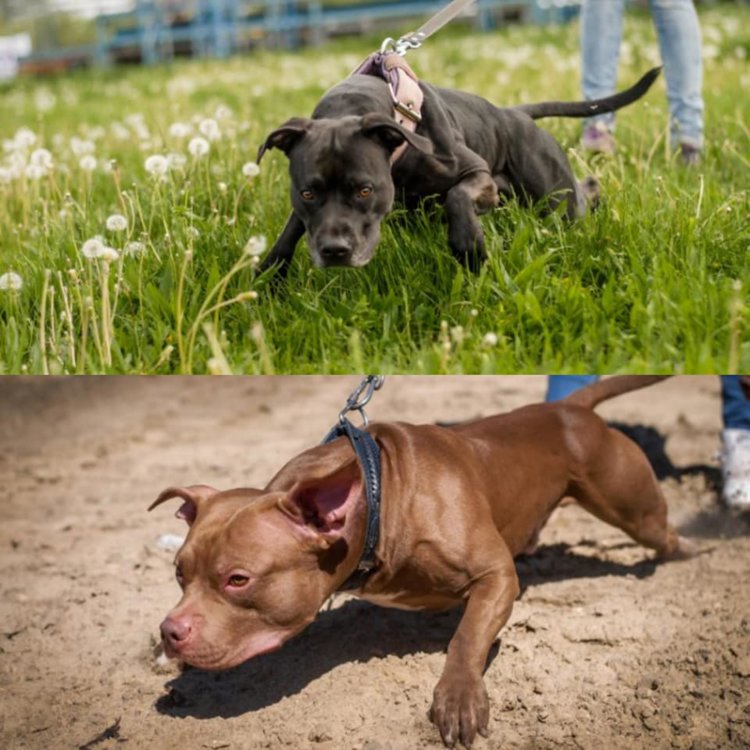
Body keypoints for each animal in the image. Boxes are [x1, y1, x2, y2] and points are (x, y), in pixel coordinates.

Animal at [151, 378, 692, 748]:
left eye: (237, 580)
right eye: (178, 573)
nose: (169, 631)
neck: (380, 496)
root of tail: (568, 406)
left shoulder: (496, 576)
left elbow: (467, 636)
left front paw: (458, 699)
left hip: (634, 509)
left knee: (663, 535)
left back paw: (691, 552)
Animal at [262, 65, 660, 274]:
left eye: (365, 190)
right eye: (307, 193)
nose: (335, 251)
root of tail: (514, 113)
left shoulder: (477, 176)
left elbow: (456, 195)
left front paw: (468, 246)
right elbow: (290, 231)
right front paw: (267, 276)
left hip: (555, 196)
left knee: (583, 192)